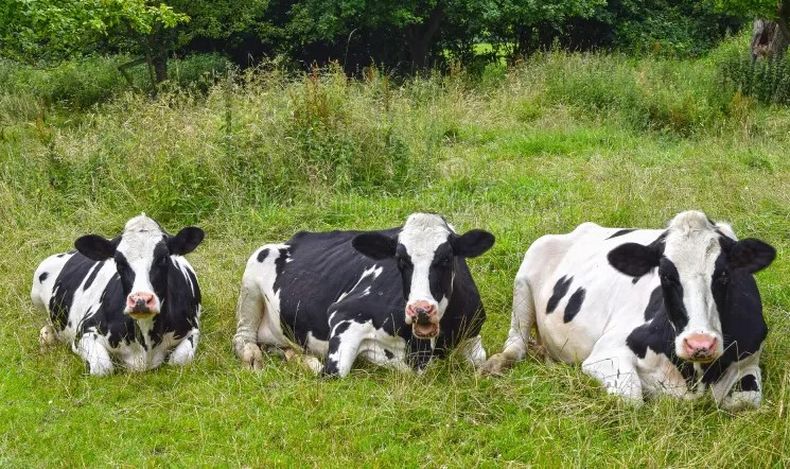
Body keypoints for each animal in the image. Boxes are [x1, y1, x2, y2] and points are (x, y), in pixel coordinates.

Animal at [31, 214, 205, 376]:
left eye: (163, 258)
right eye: (119, 262)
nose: (140, 300)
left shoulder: (193, 329)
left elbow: (178, 361)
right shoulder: (84, 331)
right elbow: (102, 368)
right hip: (36, 292)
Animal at [233, 213, 495, 377]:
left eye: (447, 258)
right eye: (400, 260)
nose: (420, 309)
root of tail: (297, 237)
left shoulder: (474, 336)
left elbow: (481, 360)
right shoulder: (344, 315)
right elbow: (334, 372)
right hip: (253, 271)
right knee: (242, 337)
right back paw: (255, 358)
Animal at [480, 211, 776, 411]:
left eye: (724, 274)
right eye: (666, 274)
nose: (699, 344)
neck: (695, 374)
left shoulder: (749, 363)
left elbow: (747, 400)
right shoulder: (605, 354)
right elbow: (632, 398)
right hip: (527, 271)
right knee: (516, 341)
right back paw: (497, 362)